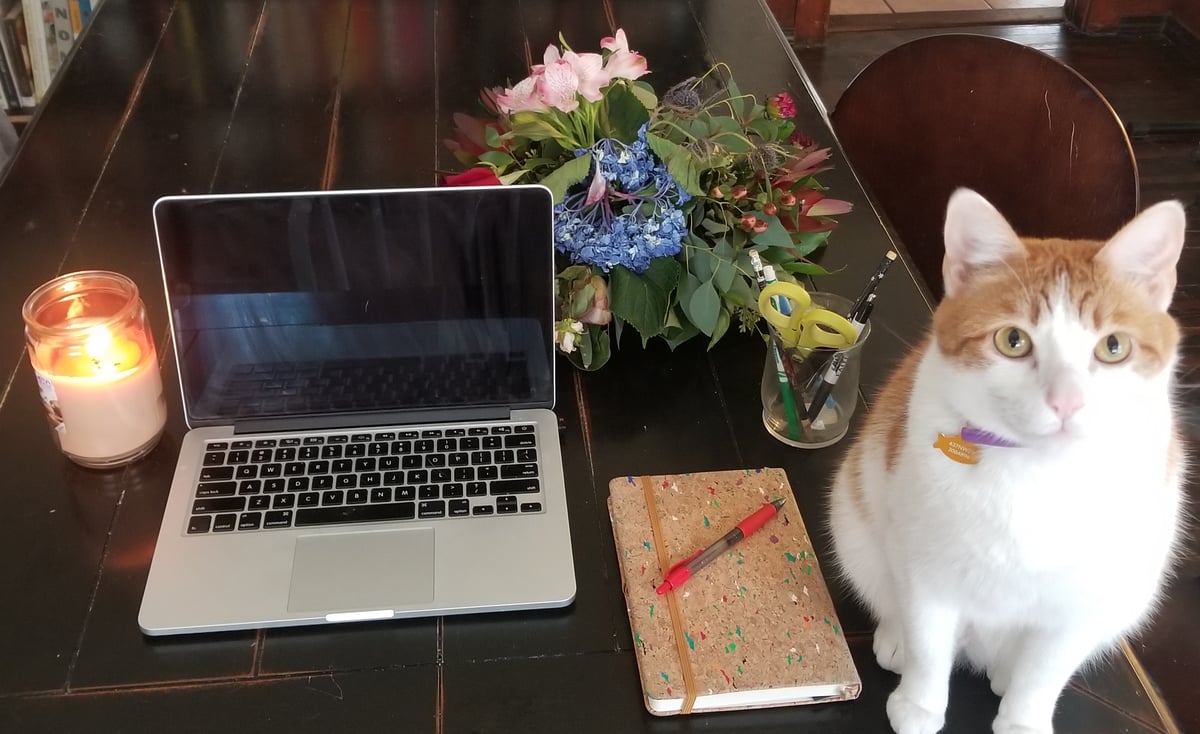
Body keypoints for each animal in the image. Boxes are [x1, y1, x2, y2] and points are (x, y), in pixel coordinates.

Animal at [830, 189, 1185, 734]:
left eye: (1114, 347)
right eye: (1013, 341)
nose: (1066, 401)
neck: (1036, 479)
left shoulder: (1079, 611)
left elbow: (1042, 676)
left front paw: (1023, 721)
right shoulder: (927, 574)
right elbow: (929, 649)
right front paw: (920, 705)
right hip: (856, 526)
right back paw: (894, 639)